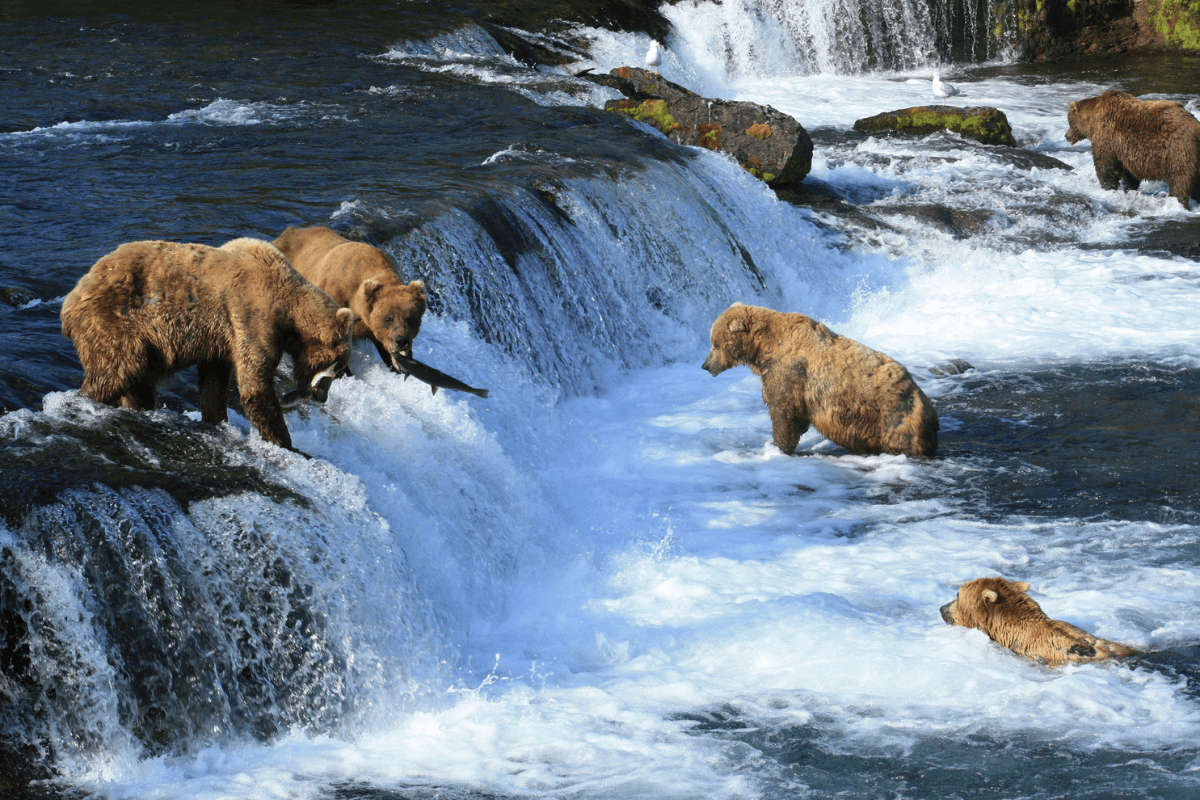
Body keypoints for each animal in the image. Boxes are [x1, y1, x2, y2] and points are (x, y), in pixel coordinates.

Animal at [60, 238, 354, 451]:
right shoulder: (251, 314)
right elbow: (255, 384)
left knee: (138, 381)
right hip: (117, 321)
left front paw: (217, 419)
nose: (322, 397)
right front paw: (287, 443)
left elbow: (214, 382)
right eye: (338, 368)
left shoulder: (222, 337)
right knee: (119, 368)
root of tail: (72, 296)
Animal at [701, 303, 938, 457]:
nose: (706, 365)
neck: (762, 349)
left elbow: (784, 412)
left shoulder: (789, 371)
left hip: (891, 414)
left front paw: (776, 446)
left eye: (715, 343)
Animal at [1066, 89, 1200, 208]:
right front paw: (1129, 188)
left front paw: (1108, 187)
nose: (1066, 136)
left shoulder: (1106, 137)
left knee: (1180, 180)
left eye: (1069, 121)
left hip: (1178, 151)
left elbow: (1105, 166)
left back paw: (1179, 201)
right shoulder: (1125, 150)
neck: (1091, 121)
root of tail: (1196, 125)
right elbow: (1128, 173)